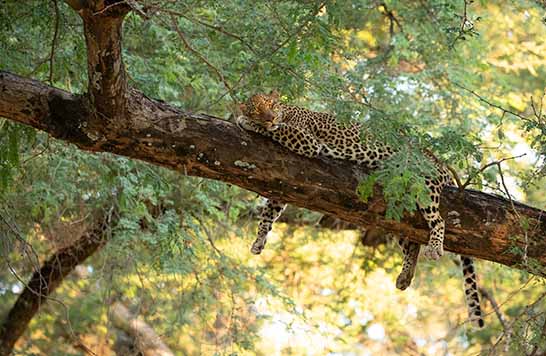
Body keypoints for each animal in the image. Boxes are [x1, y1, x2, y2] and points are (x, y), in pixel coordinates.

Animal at [236, 91, 482, 328]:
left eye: (271, 105)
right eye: (257, 109)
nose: (269, 117)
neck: (286, 111)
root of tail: (440, 162)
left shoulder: (306, 141)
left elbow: (277, 131)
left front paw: (246, 122)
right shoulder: (284, 184)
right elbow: (269, 212)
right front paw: (259, 240)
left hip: (423, 185)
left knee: (438, 220)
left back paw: (435, 248)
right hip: (396, 214)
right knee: (411, 244)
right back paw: (405, 276)